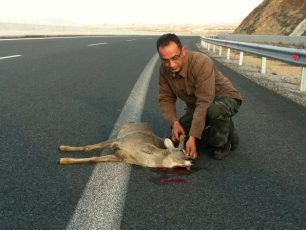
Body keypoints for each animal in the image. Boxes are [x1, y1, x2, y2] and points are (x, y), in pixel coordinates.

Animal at [58, 122, 191, 169]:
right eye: (182, 151)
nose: (191, 160)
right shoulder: (118, 141)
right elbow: (89, 147)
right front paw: (63, 149)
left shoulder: (121, 157)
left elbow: (94, 159)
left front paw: (64, 160)